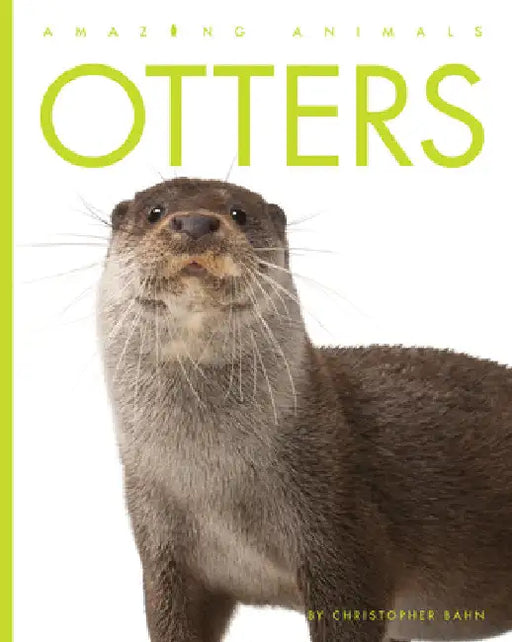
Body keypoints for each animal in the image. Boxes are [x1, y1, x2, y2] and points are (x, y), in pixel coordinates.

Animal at [98, 177, 512, 642]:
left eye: (239, 213)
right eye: (155, 211)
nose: (195, 222)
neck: (214, 484)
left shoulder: (341, 530)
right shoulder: (161, 553)